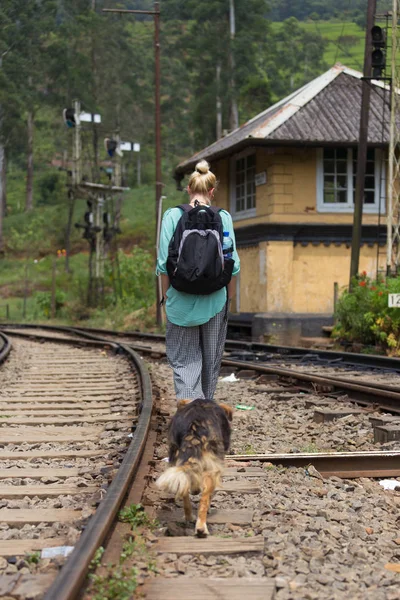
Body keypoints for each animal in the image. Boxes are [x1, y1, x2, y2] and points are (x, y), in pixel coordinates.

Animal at [155, 400, 233, 536]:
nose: (195, 491)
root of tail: (194, 427)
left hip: (176, 456)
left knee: (184, 489)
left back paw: (189, 517)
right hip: (211, 469)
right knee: (204, 498)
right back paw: (201, 527)